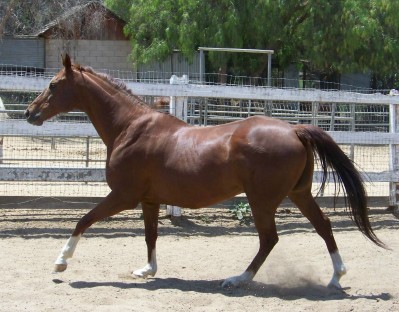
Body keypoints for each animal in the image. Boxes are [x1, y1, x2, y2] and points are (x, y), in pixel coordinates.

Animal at [26, 54, 386, 290]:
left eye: (54, 85)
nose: (30, 112)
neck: (130, 128)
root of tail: (295, 129)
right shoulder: (149, 200)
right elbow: (150, 235)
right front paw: (147, 270)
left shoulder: (123, 196)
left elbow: (83, 220)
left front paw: (61, 262)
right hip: (298, 194)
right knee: (323, 225)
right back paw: (336, 277)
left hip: (262, 199)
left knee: (269, 238)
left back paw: (237, 280)